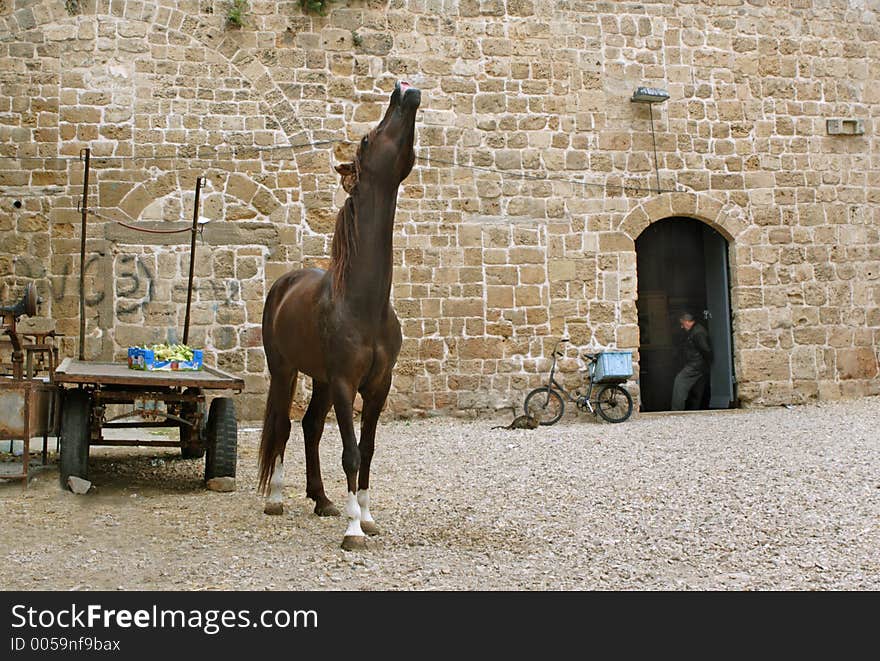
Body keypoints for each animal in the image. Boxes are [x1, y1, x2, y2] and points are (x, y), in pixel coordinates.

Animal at [256, 80, 422, 548]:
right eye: (367, 139)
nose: (403, 88)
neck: (363, 303)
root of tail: (283, 283)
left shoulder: (378, 386)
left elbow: (367, 451)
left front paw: (365, 516)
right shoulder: (347, 384)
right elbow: (349, 452)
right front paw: (353, 530)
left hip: (321, 379)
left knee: (311, 426)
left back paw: (322, 499)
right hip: (286, 370)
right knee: (283, 425)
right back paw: (276, 499)